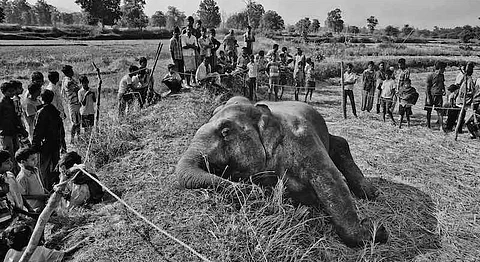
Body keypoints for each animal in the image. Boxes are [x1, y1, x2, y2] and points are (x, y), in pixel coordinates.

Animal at [174, 96, 388, 248]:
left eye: (225, 132)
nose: (252, 190)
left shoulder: (304, 141)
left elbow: (330, 181)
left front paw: (378, 231)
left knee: (341, 144)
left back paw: (372, 193)